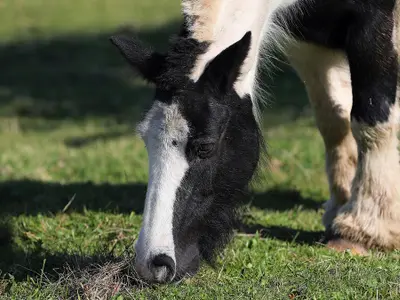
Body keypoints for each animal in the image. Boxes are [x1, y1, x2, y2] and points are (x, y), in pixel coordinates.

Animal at [111, 0, 400, 282]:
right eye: (146, 139)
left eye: (205, 146)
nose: (152, 265)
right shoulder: (309, 38)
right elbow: (333, 119)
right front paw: (341, 206)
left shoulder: (376, 24)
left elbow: (371, 123)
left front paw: (361, 231)